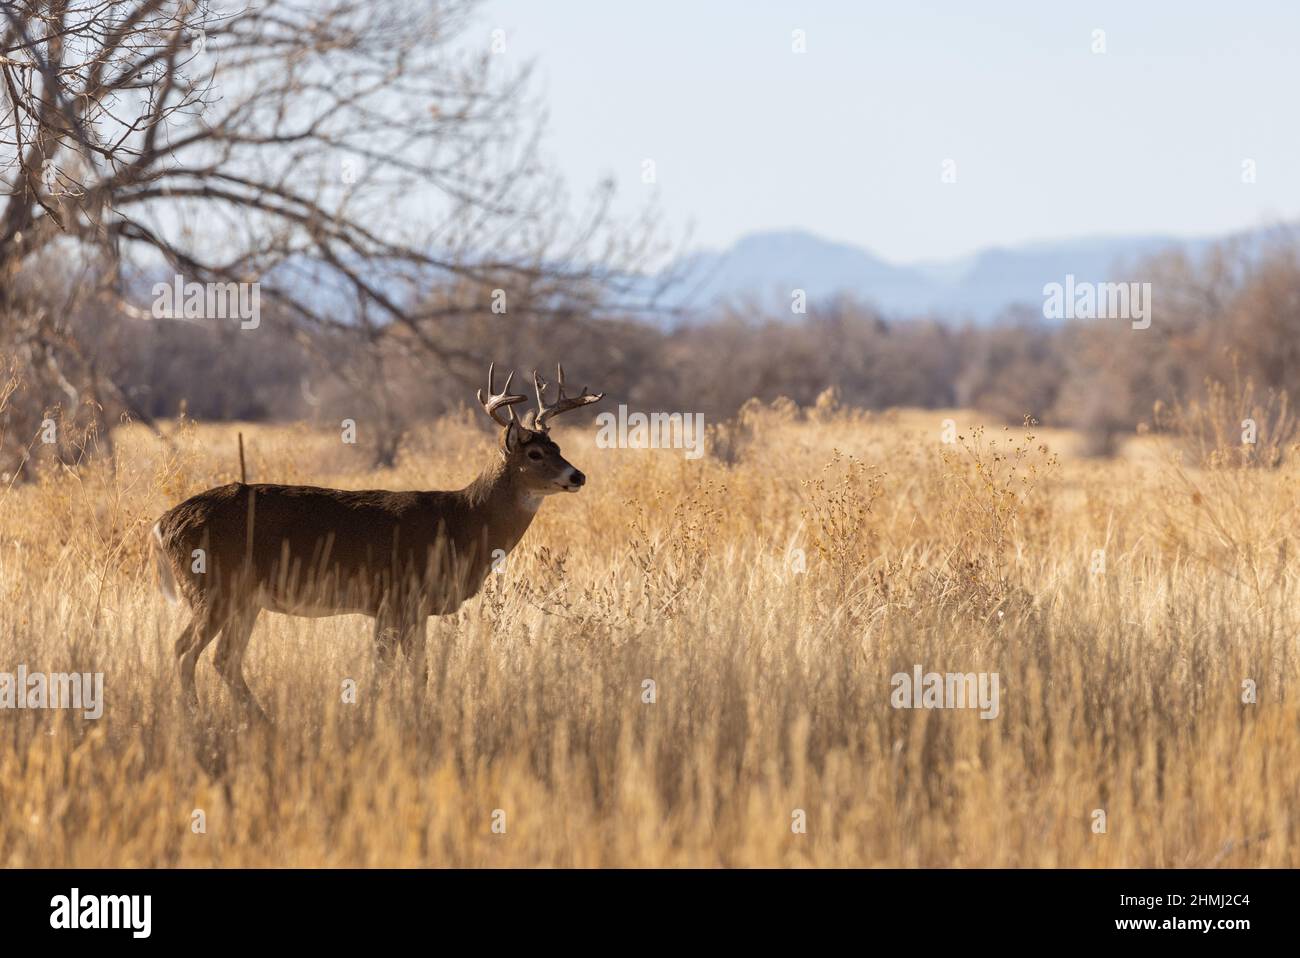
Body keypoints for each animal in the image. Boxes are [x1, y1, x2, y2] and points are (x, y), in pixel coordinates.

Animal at [151, 362, 603, 722]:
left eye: (557, 445)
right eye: (535, 455)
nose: (578, 475)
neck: (464, 521)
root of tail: (162, 524)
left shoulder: (407, 609)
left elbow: (414, 672)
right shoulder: (396, 597)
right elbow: (392, 672)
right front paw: (380, 716)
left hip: (245, 599)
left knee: (224, 659)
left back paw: (260, 720)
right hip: (214, 588)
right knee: (183, 649)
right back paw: (196, 719)